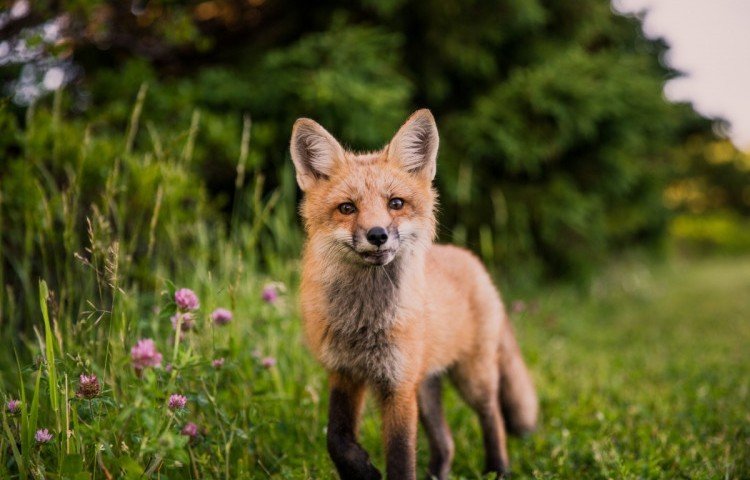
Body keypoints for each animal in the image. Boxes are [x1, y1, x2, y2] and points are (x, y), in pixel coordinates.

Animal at [290, 109, 540, 480]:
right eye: (347, 208)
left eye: (396, 203)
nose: (377, 234)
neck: (364, 321)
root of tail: (471, 260)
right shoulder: (345, 373)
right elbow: (336, 439)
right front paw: (362, 471)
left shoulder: (398, 385)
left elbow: (400, 456)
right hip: (426, 388)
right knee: (447, 442)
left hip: (472, 377)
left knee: (492, 416)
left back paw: (498, 469)